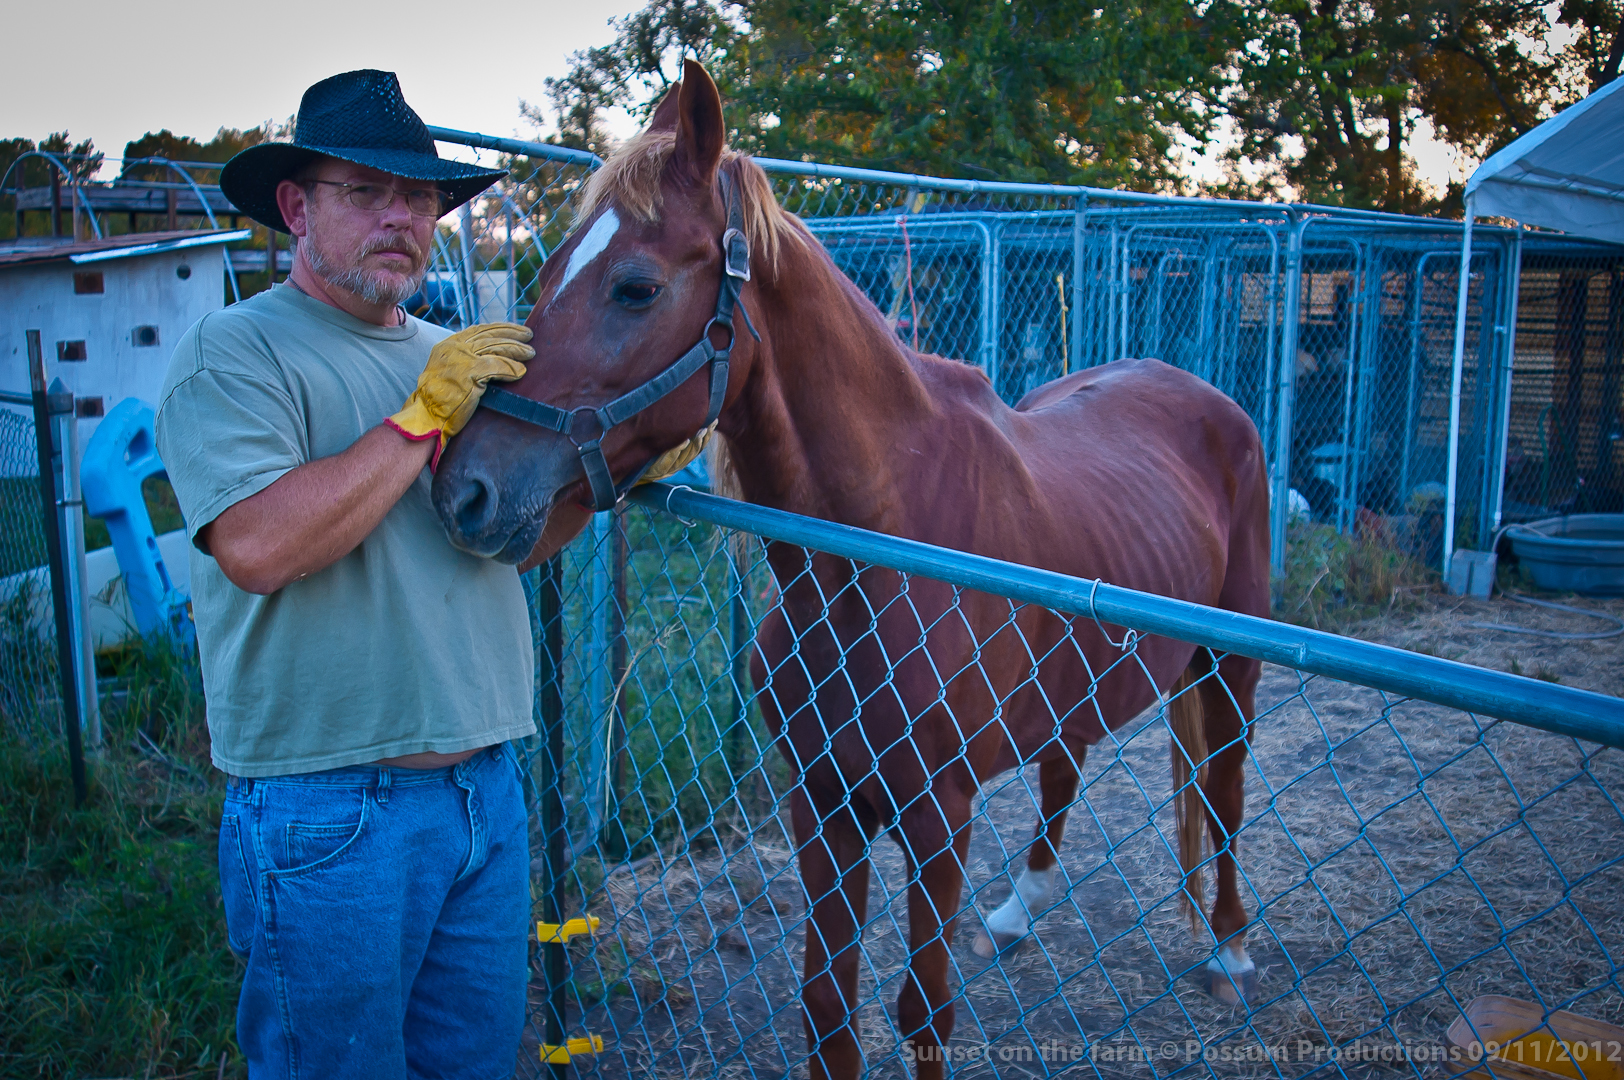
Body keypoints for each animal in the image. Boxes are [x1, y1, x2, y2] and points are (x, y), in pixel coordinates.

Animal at [438, 63, 1273, 1078]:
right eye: (551, 268)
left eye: (635, 287)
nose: (465, 489)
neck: (876, 550)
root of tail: (1203, 394)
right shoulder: (824, 806)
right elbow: (827, 1008)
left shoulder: (937, 816)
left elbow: (923, 1010)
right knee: (1066, 762)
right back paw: (1019, 910)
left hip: (1231, 667)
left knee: (1224, 789)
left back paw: (1231, 946)